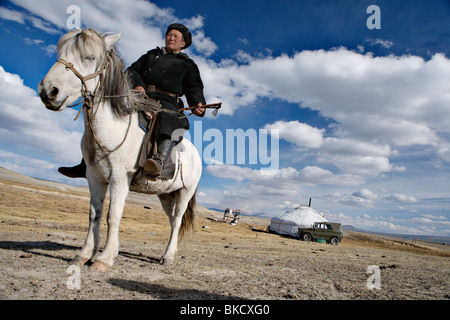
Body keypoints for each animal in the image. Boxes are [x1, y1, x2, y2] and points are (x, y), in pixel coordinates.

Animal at [39, 29, 201, 270]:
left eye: (90, 57)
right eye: (61, 52)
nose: (48, 90)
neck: (113, 125)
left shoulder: (119, 179)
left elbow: (112, 215)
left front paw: (104, 258)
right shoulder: (95, 177)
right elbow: (94, 215)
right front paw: (85, 254)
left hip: (184, 192)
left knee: (178, 220)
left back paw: (168, 256)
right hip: (165, 194)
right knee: (173, 220)